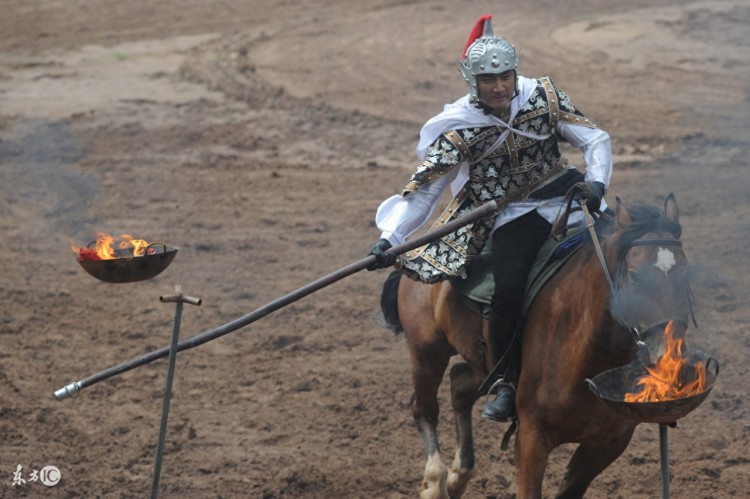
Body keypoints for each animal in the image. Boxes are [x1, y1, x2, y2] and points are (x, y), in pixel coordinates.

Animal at [382, 195, 692, 499]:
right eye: (637, 277)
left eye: (686, 275)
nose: (666, 355)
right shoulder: (532, 439)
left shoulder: (608, 444)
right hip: (426, 351)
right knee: (424, 409)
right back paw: (435, 482)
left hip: (482, 366)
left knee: (459, 383)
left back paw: (459, 476)